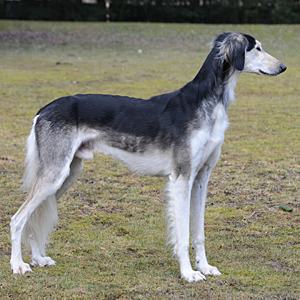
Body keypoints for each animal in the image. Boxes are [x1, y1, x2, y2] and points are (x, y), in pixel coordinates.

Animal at [9, 32, 286, 282]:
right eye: (257, 48)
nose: (283, 67)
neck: (207, 102)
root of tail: (44, 109)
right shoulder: (181, 178)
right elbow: (183, 235)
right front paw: (188, 273)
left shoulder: (201, 178)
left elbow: (198, 233)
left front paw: (204, 267)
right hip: (54, 175)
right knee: (18, 218)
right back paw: (18, 265)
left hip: (67, 174)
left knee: (36, 215)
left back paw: (38, 258)